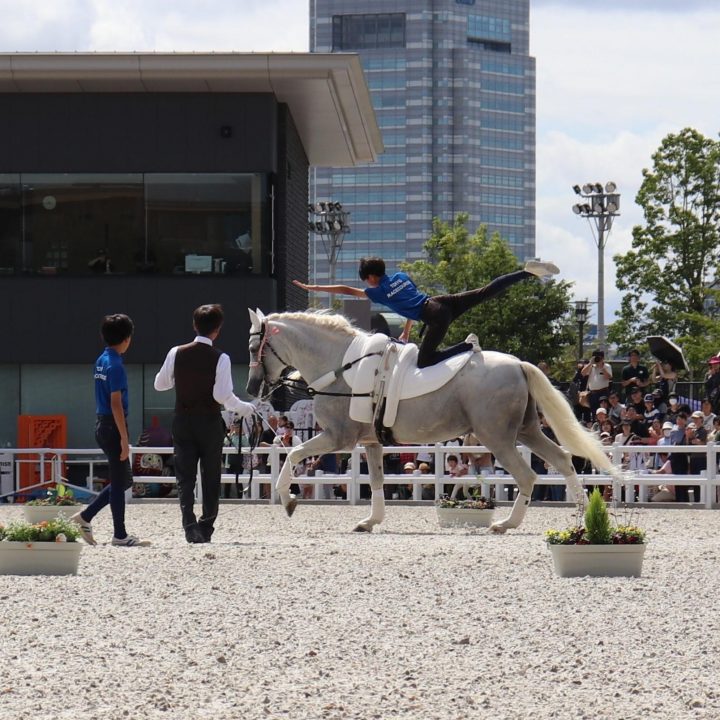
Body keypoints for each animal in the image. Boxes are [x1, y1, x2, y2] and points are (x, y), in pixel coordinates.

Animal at [248, 310, 620, 536]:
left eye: (254, 348)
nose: (252, 388)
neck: (339, 365)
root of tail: (518, 364)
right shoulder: (371, 441)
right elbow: (377, 481)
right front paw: (370, 521)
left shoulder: (338, 438)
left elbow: (293, 454)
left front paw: (288, 500)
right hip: (526, 431)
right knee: (563, 460)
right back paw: (583, 520)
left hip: (497, 437)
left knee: (528, 475)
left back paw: (504, 524)